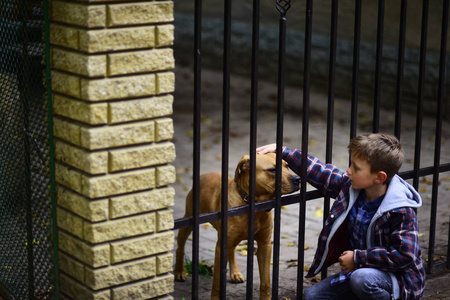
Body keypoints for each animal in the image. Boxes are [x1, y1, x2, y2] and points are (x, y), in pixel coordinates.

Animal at [174, 154, 300, 298]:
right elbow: (217, 284)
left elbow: (266, 282)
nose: (298, 179)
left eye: (287, 166)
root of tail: (204, 174)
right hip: (188, 221)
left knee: (232, 251)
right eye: (272, 170)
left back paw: (235, 273)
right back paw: (179, 271)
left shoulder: (265, 245)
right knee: (180, 247)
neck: (253, 205)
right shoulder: (221, 247)